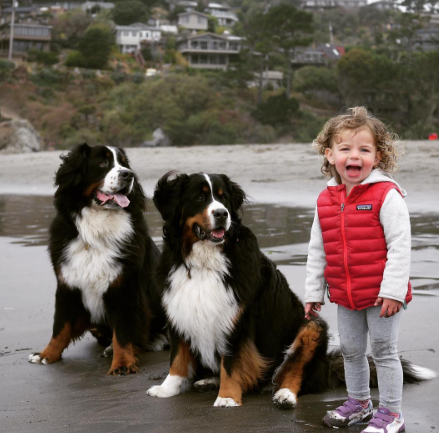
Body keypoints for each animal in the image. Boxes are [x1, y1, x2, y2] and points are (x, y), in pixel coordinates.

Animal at [29, 143, 167, 372]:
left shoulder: (124, 287)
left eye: (124, 163)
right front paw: (47, 355)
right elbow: (60, 326)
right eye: (103, 163)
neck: (96, 230)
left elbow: (124, 331)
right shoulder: (67, 284)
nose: (128, 175)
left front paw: (122, 363)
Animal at [144, 171, 330, 404]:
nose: (222, 214)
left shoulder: (235, 318)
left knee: (296, 368)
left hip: (312, 326)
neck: (204, 261)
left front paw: (228, 397)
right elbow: (178, 357)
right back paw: (209, 381)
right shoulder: (178, 310)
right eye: (199, 197)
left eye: (223, 198)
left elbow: (231, 361)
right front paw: (167, 388)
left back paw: (285, 394)